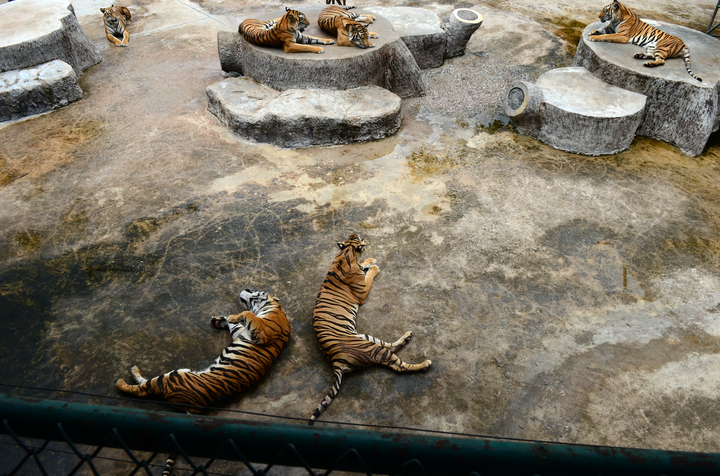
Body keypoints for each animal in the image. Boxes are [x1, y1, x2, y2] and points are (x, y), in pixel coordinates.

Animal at [115, 288, 290, 410]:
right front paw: (221, 320)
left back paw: (123, 380)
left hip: (173, 376)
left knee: (143, 389)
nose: (246, 287)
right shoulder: (242, 332)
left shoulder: (262, 331)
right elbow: (236, 324)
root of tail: (194, 407)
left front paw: (230, 317)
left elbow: (246, 313)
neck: (276, 308)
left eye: (255, 290)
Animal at [308, 234, 430, 424]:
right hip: (371, 348)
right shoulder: (362, 292)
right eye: (359, 238)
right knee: (399, 366)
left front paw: (370, 261)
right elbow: (369, 277)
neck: (346, 253)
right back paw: (425, 363)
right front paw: (374, 267)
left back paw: (407, 336)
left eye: (353, 236)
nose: (357, 233)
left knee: (390, 346)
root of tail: (335, 361)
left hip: (366, 337)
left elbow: (364, 264)